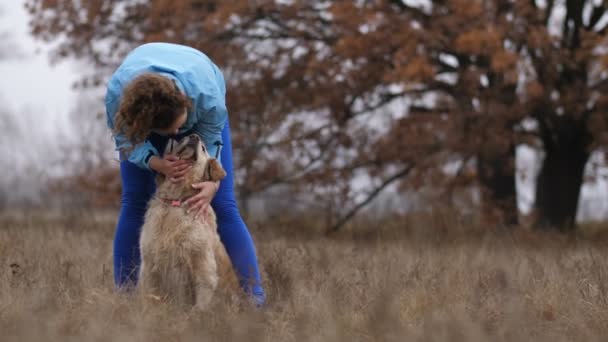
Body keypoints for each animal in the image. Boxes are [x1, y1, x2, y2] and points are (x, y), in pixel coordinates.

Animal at [139, 134, 239, 310]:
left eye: (204, 148)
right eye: (181, 139)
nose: (194, 136)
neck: (177, 200)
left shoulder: (203, 265)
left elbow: (202, 301)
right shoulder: (149, 263)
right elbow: (149, 294)